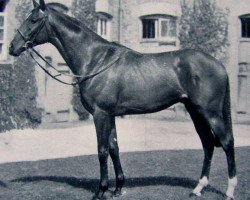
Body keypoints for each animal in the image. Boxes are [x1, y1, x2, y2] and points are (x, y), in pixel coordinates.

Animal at [8, 0, 237, 199]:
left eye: (34, 20)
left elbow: (102, 150)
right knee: (208, 144)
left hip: (210, 113)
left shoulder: (100, 114)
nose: (12, 47)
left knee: (226, 142)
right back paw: (198, 188)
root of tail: (219, 65)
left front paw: (101, 191)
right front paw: (117, 188)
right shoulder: (110, 115)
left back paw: (229, 190)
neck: (95, 60)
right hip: (195, 112)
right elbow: (114, 147)